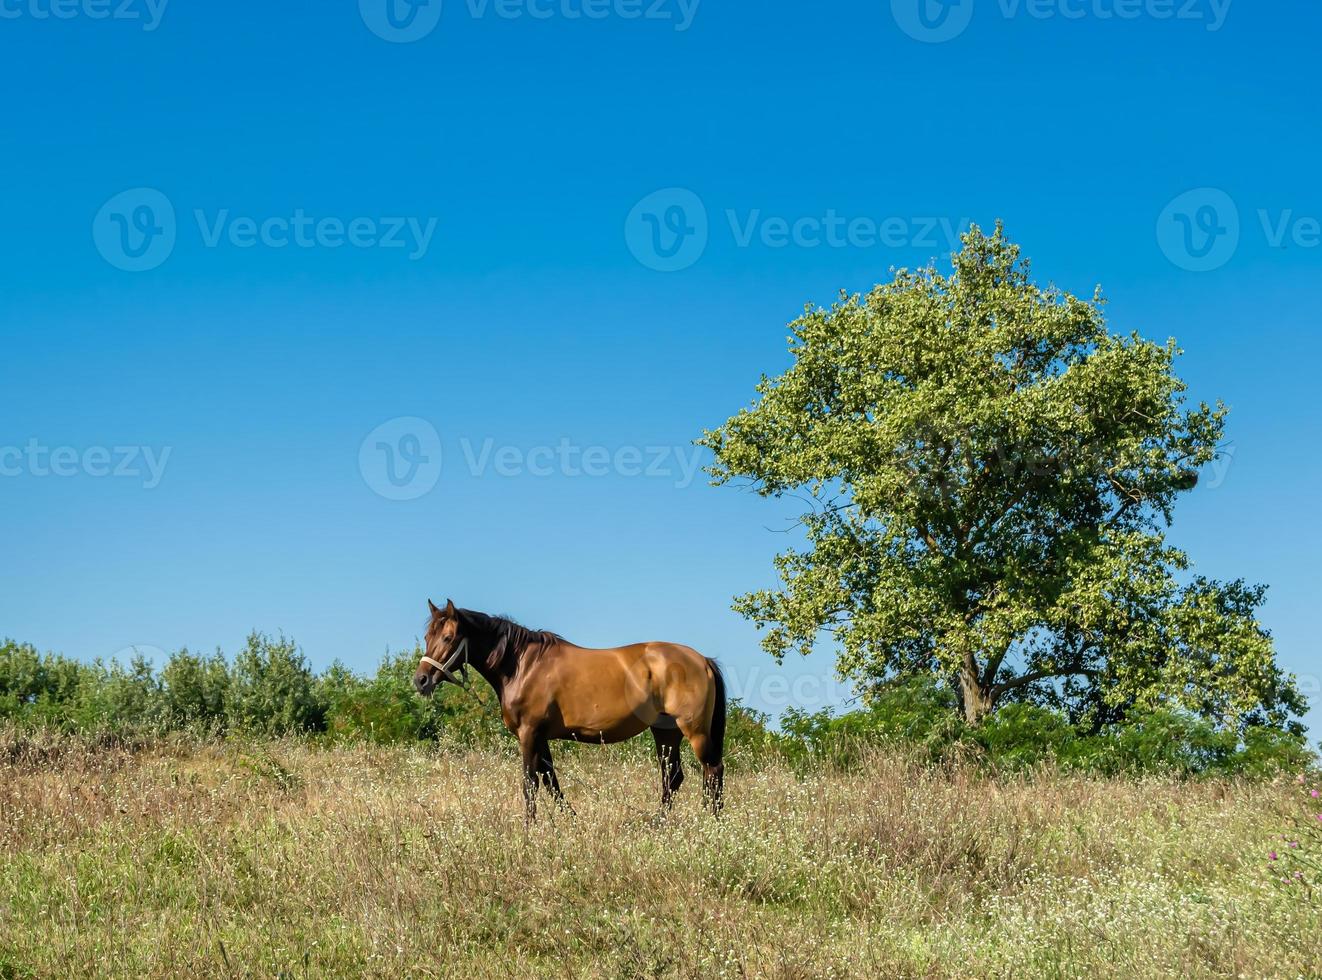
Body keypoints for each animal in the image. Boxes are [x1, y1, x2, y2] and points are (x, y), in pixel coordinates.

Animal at [412, 595, 724, 819]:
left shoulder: (529, 734)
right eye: (427, 637)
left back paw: (711, 824)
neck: (523, 665)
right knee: (673, 777)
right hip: (665, 732)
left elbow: (530, 784)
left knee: (712, 771)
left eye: (448, 637)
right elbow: (551, 781)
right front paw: (570, 820)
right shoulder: (540, 738)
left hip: (694, 732)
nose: (421, 680)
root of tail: (702, 660)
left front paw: (529, 829)